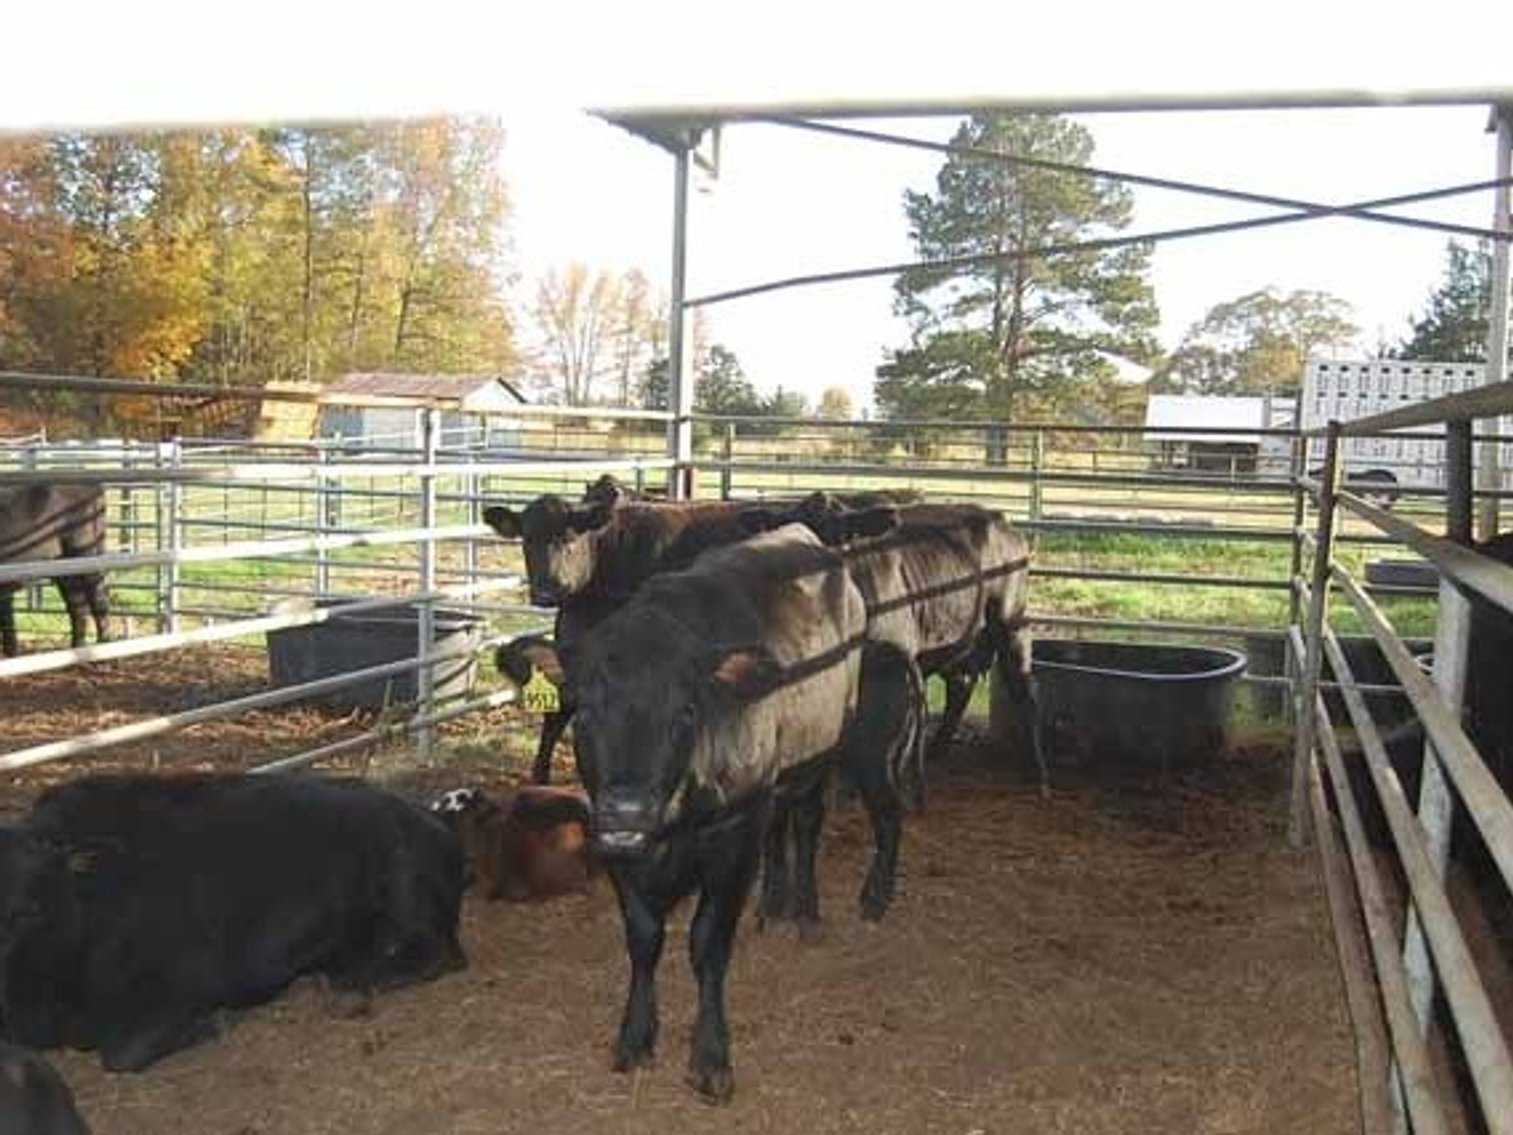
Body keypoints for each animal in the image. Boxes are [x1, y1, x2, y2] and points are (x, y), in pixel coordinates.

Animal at [0, 484, 111, 658]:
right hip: (65, 571)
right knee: (78, 605)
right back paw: (76, 648)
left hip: (86, 555)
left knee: (98, 598)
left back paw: (103, 646)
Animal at [0, 773, 467, 1072]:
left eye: (32, 903)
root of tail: (431, 818)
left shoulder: (186, 985)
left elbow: (122, 1054)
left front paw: (216, 1023)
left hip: (407, 891)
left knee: (436, 956)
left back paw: (347, 986)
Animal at [521, 523, 916, 1102]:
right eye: (585, 710)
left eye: (685, 711)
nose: (629, 807)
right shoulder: (619, 847)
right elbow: (644, 939)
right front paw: (635, 1036)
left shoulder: (733, 835)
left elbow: (707, 942)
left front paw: (710, 1056)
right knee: (782, 826)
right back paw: (772, 904)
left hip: (823, 755)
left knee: (811, 823)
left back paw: (819, 909)